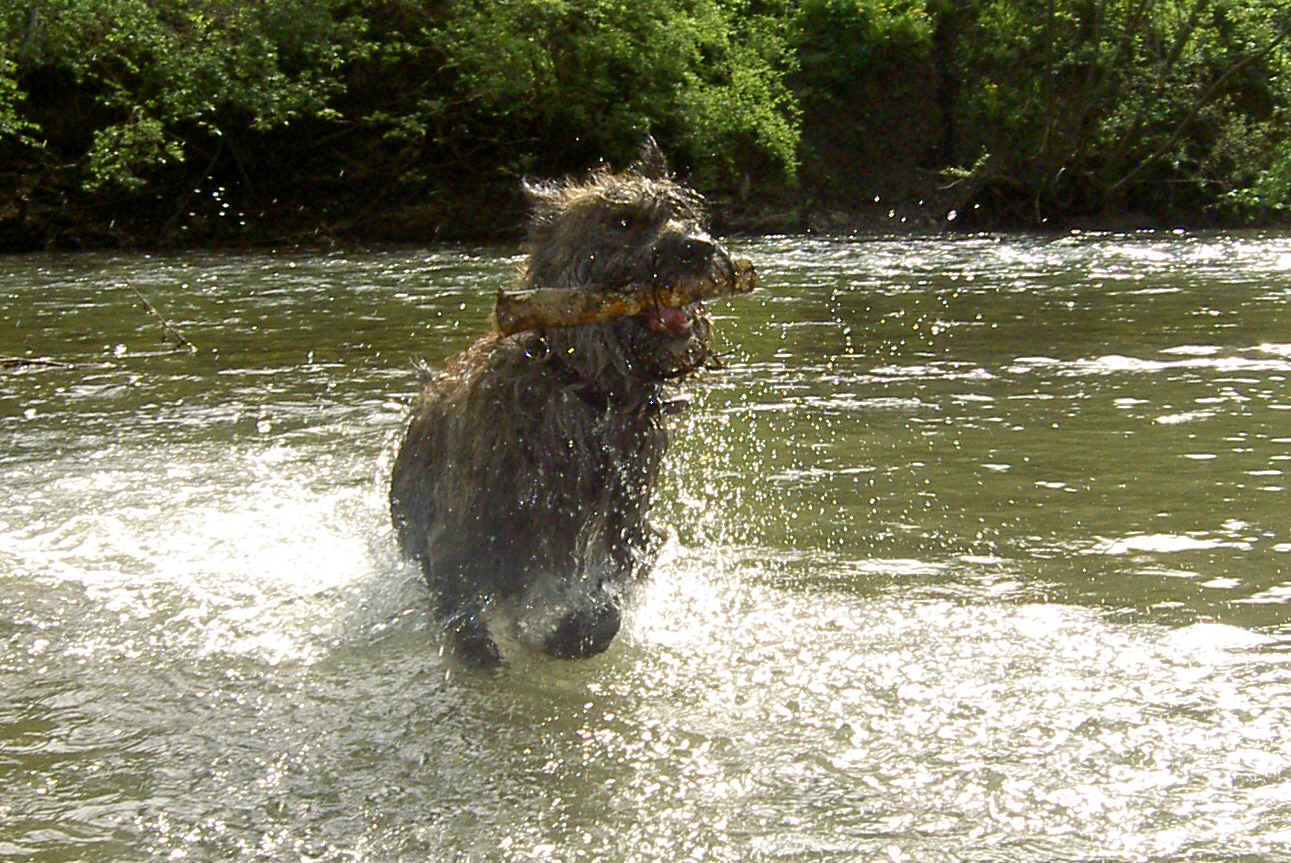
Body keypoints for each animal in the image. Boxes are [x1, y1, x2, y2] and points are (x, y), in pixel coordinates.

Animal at [387, 141, 738, 666]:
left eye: (684, 212)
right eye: (622, 221)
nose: (698, 248)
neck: (590, 391)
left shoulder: (629, 530)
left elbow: (611, 596)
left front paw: (572, 634)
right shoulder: (461, 537)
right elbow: (462, 606)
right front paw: (483, 651)